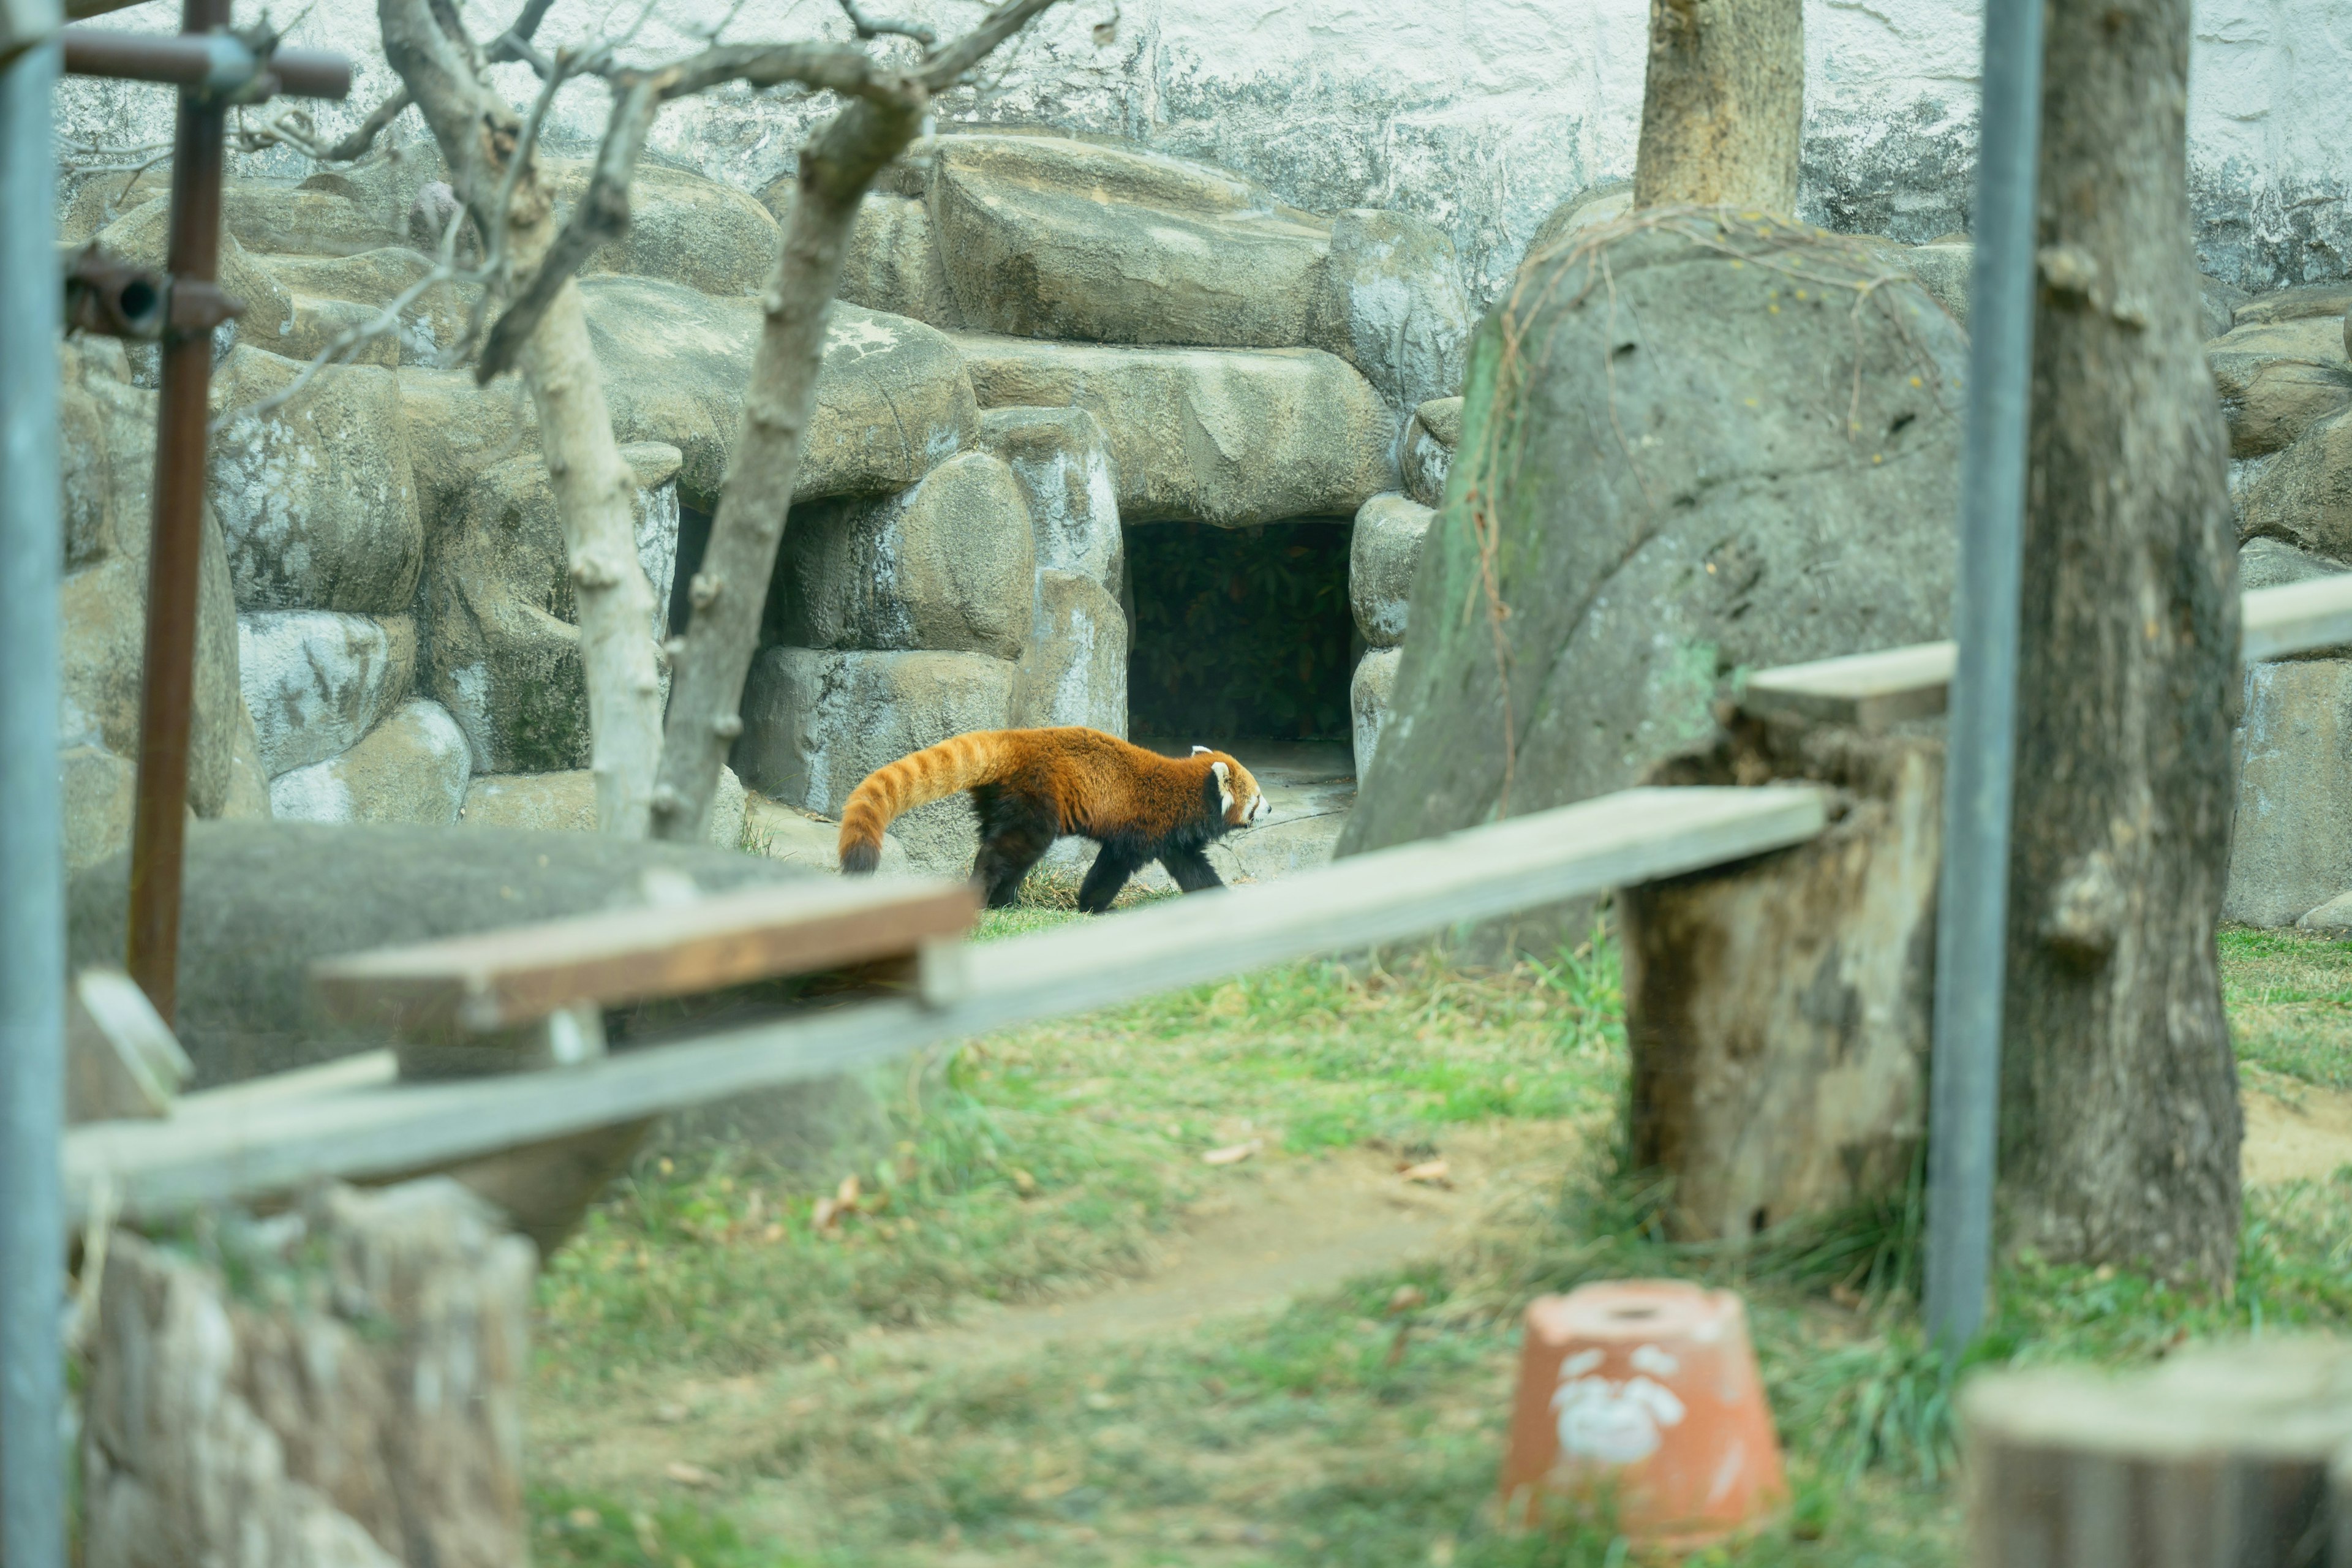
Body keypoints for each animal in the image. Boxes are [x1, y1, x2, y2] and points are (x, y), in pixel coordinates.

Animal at [832, 728, 1270, 912]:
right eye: (1259, 796)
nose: (1270, 810)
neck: (1186, 793)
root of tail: (1013, 739)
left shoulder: (1172, 839)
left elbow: (1193, 868)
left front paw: (1218, 896)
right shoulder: (1142, 828)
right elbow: (1112, 866)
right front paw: (1091, 905)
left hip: (1001, 798)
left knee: (1003, 846)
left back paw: (1004, 901)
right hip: (1035, 796)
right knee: (1009, 849)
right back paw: (988, 896)